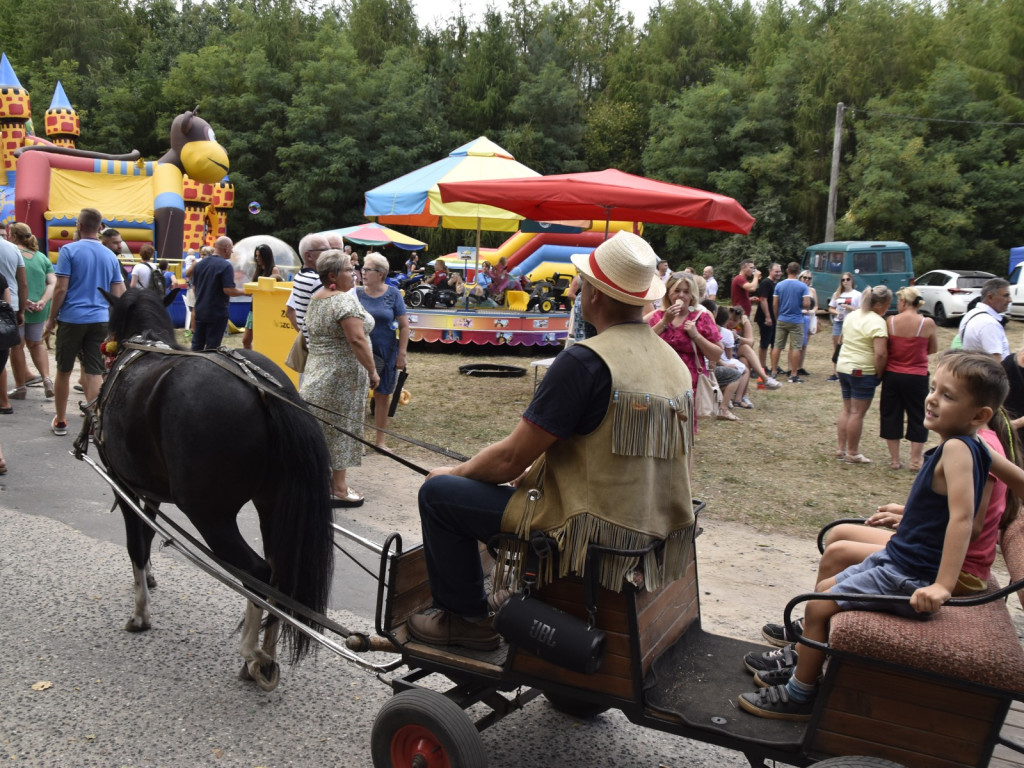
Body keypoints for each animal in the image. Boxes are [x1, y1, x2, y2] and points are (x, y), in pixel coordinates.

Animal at [95, 286, 331, 692]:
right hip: (272, 506)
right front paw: (151, 580)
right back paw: (266, 655)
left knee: (258, 573)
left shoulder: (123, 485)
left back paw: (253, 655)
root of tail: (263, 387)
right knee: (278, 577)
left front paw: (140, 614)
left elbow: (136, 545)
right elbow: (147, 534)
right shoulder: (149, 492)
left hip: (209, 515)